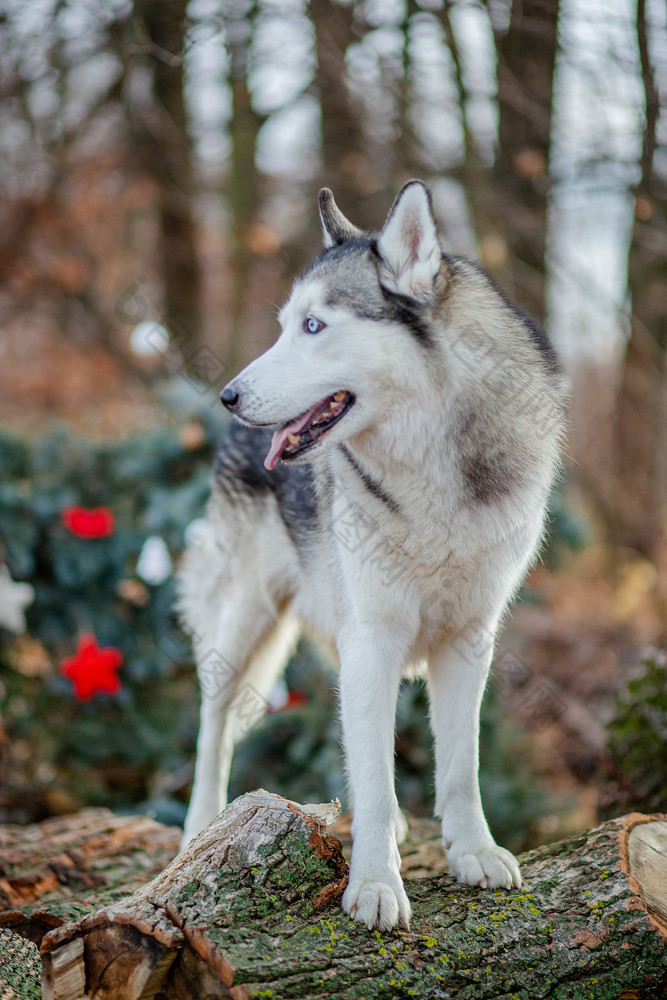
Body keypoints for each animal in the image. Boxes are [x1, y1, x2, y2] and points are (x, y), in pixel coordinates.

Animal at [177, 180, 564, 928]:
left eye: (313, 326)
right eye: (284, 325)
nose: (229, 395)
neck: (436, 472)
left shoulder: (470, 640)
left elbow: (459, 766)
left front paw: (472, 852)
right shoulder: (374, 636)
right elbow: (382, 778)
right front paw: (377, 885)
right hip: (245, 624)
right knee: (213, 724)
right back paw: (199, 827)